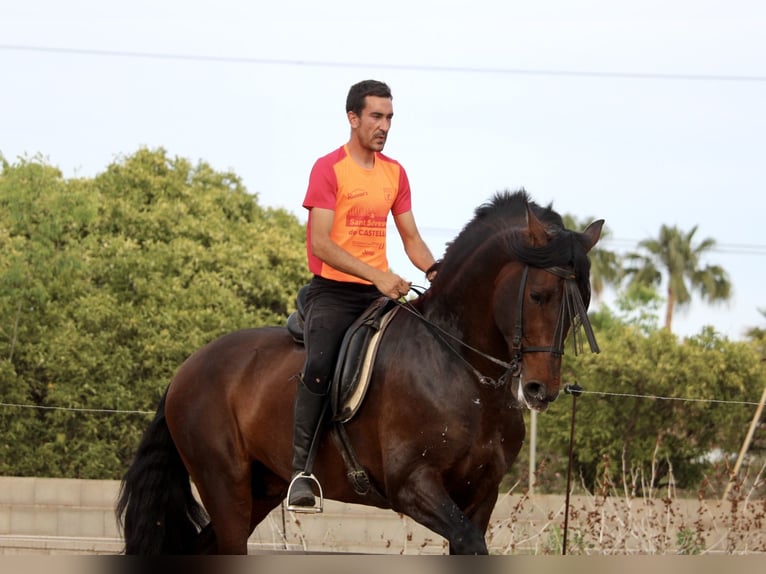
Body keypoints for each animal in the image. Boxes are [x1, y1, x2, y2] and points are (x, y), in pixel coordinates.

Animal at [115, 191, 608, 556]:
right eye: (540, 295)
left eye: (581, 301)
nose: (540, 389)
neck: (465, 372)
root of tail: (187, 369)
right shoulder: (413, 485)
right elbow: (469, 541)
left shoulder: (481, 493)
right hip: (225, 485)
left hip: (261, 488)